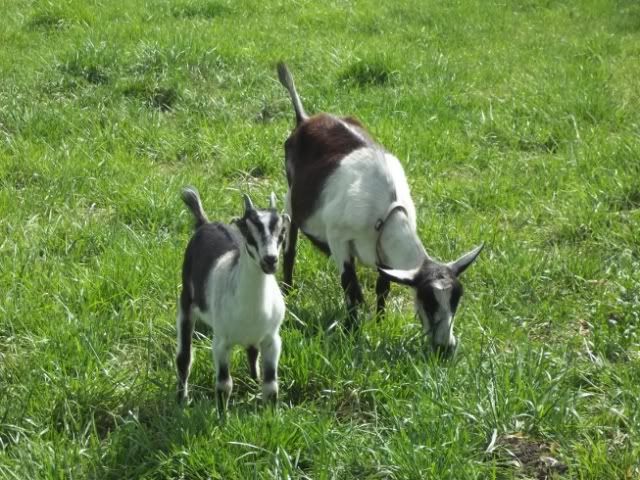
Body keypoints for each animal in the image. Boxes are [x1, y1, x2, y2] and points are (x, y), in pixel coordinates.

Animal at [176, 187, 290, 410]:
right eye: (249, 233)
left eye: (282, 233)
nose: (270, 260)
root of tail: (205, 223)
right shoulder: (221, 342)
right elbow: (224, 385)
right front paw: (222, 417)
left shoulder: (272, 339)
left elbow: (271, 386)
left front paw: (272, 415)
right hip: (186, 302)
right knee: (184, 358)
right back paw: (182, 399)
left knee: (252, 351)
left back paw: (253, 380)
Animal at [277, 63, 483, 355]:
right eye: (428, 300)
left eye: (456, 299)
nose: (445, 347)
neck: (386, 210)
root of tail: (305, 120)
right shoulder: (339, 240)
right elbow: (351, 287)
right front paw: (352, 330)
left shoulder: (384, 253)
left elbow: (382, 286)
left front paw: (380, 321)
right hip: (291, 200)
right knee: (290, 245)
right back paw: (288, 290)